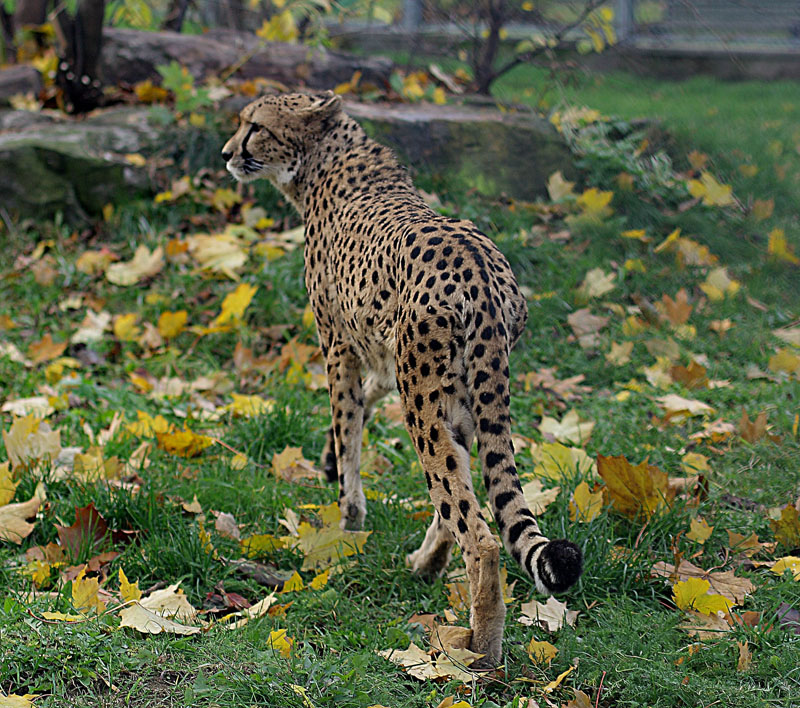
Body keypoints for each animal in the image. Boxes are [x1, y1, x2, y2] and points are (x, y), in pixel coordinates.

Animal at [222, 92, 584, 664]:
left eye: (254, 126)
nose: (226, 152)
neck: (326, 159)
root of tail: (483, 271)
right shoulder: (382, 354)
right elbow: (362, 406)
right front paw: (330, 463)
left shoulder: (338, 345)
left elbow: (348, 426)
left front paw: (348, 520)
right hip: (455, 392)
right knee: (462, 493)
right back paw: (426, 566)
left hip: (422, 401)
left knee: (478, 532)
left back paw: (480, 654)